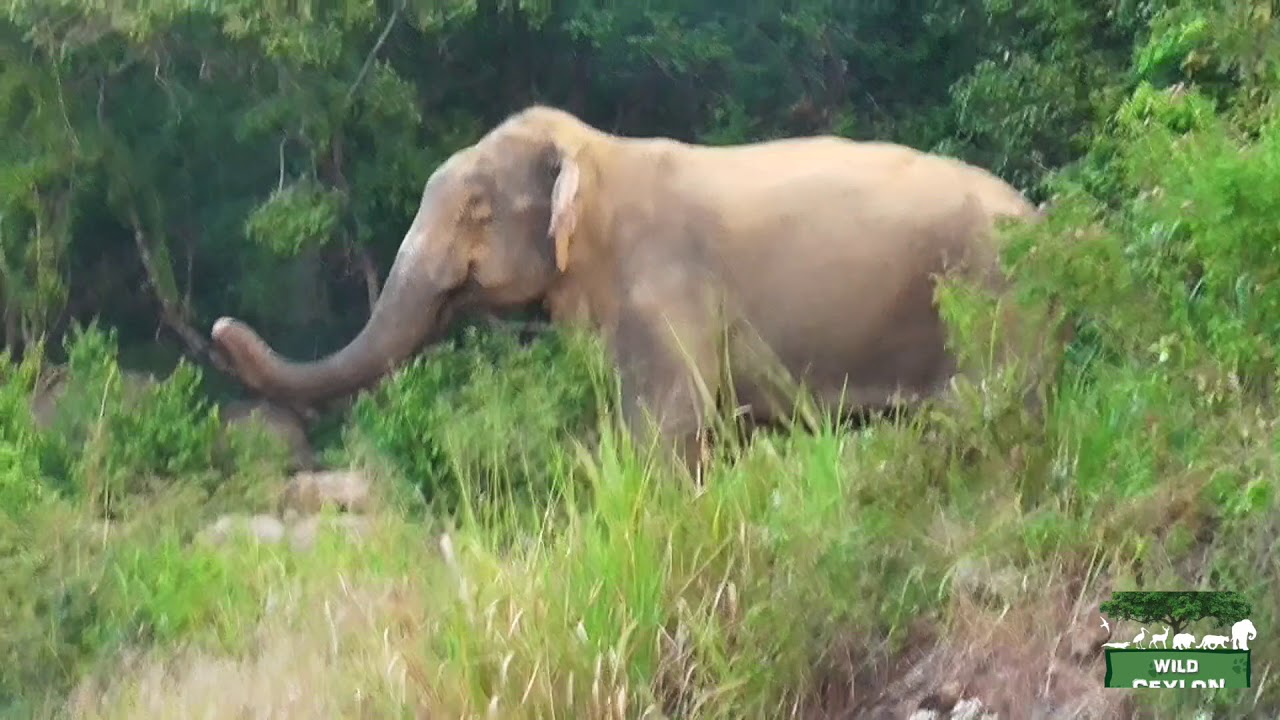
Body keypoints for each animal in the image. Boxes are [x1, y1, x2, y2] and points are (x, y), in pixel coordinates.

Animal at [211, 105, 1061, 472]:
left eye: (476, 210)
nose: (221, 329)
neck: (596, 150)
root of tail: (1044, 218)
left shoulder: (666, 287)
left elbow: (668, 428)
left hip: (995, 294)